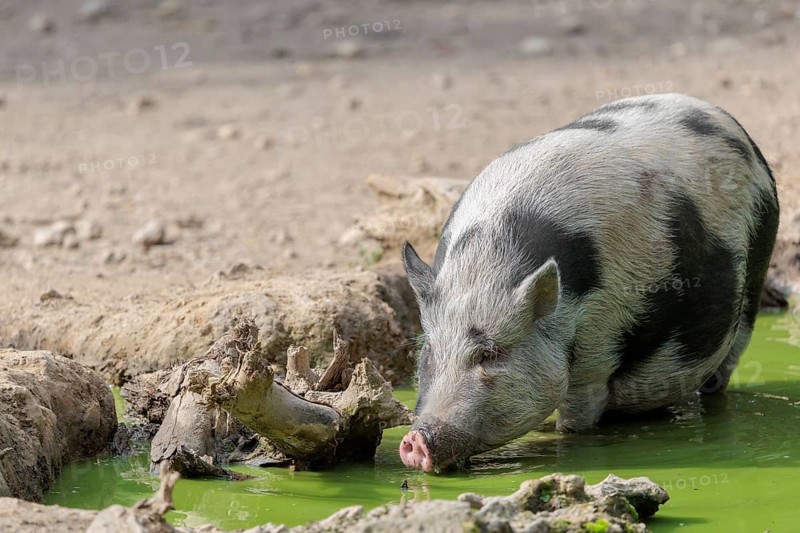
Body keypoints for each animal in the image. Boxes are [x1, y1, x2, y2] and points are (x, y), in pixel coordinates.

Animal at [398, 93, 779, 472]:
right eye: (429, 350)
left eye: (491, 353)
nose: (416, 440)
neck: (486, 266)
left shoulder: (599, 348)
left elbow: (576, 419)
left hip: (755, 275)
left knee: (723, 370)